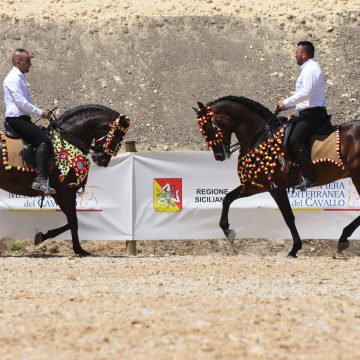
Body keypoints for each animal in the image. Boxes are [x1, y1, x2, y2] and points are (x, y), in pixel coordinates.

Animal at [0, 104, 130, 256]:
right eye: (118, 135)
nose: (103, 161)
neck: (69, 140)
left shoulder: (61, 194)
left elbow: (71, 221)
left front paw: (43, 236)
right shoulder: (66, 192)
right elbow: (73, 221)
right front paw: (78, 249)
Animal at [195, 95, 360, 258]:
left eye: (210, 126)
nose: (219, 156)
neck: (262, 138)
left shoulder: (276, 188)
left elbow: (288, 217)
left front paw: (294, 249)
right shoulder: (256, 186)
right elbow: (227, 198)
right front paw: (228, 231)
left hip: (356, 177)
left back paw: (343, 238)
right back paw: (343, 238)